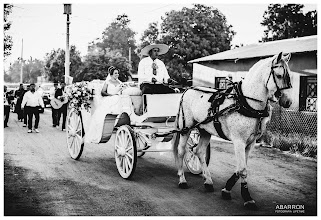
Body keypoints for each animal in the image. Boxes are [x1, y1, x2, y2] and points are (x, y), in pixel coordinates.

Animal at [172, 51, 292, 210]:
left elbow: (241, 167)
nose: (288, 101)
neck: (246, 102)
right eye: (279, 75)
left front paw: (227, 188)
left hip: (205, 130)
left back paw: (208, 181)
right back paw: (182, 179)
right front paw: (247, 197)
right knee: (181, 150)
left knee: (199, 151)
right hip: (185, 128)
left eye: (289, 75)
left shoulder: (250, 143)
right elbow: (242, 169)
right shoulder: (239, 141)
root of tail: (188, 89)